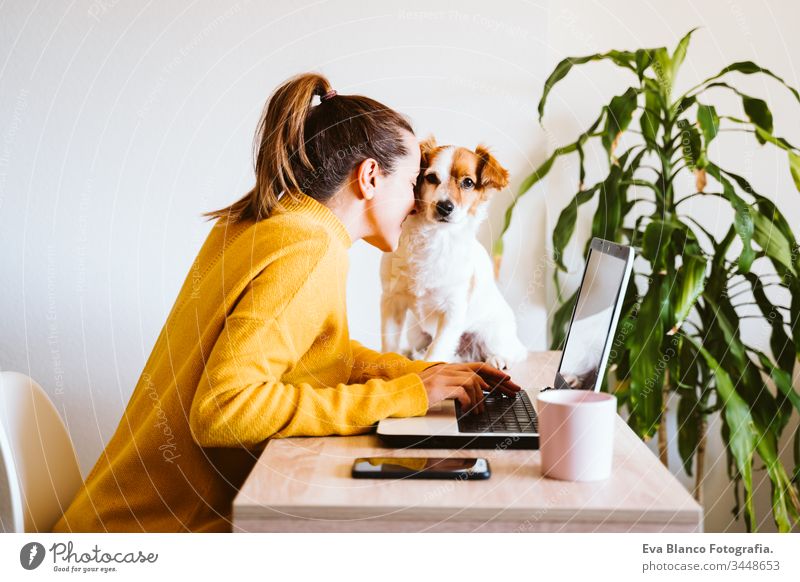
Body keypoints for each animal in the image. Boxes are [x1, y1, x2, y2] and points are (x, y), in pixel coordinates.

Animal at [382, 137, 532, 370]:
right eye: (431, 178)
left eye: (468, 182)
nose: (445, 207)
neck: (434, 237)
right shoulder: (392, 300)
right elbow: (389, 345)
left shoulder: (452, 310)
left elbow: (435, 353)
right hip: (416, 333)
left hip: (493, 334)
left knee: (515, 352)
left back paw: (499, 359)